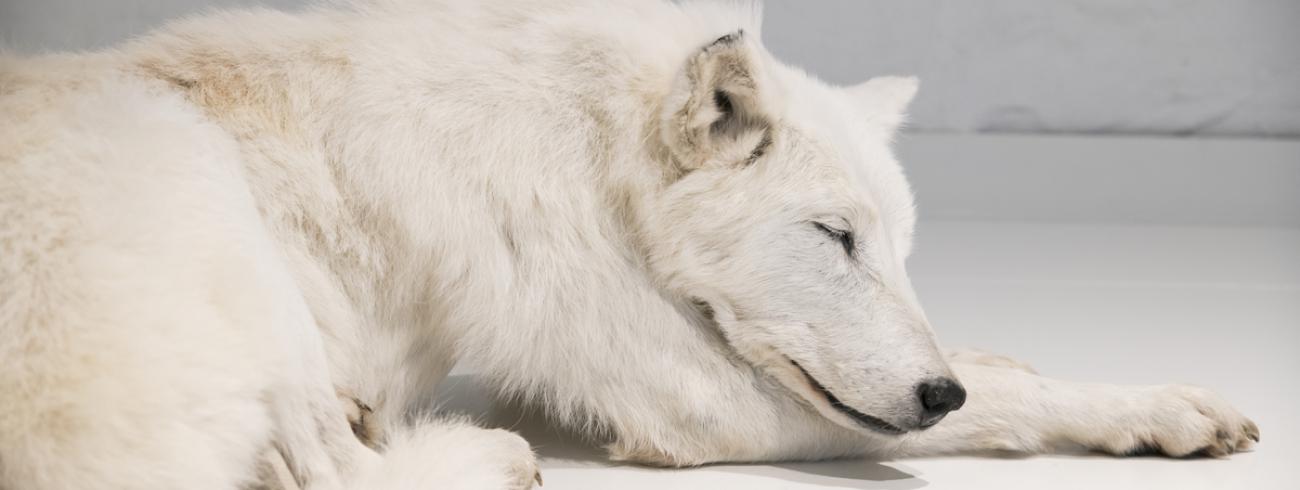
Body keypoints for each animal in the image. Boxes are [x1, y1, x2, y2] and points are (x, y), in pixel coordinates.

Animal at [0, 0, 1258, 488]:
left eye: (896, 249)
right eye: (831, 237)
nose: (931, 392)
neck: (587, 145)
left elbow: (1006, 364)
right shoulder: (687, 404)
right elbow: (1008, 400)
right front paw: (1153, 407)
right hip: (191, 183)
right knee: (332, 469)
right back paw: (487, 454)